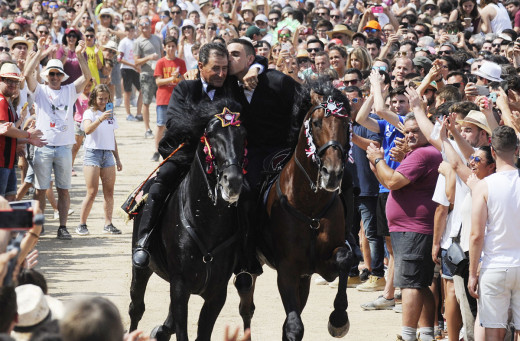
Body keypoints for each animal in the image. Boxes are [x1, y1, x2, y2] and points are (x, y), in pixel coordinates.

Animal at [127, 99, 246, 340]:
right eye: (211, 136)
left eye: (242, 135)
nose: (233, 182)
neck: (206, 221)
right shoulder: (180, 285)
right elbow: (182, 329)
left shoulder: (217, 293)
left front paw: (162, 330)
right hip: (142, 267)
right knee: (136, 307)